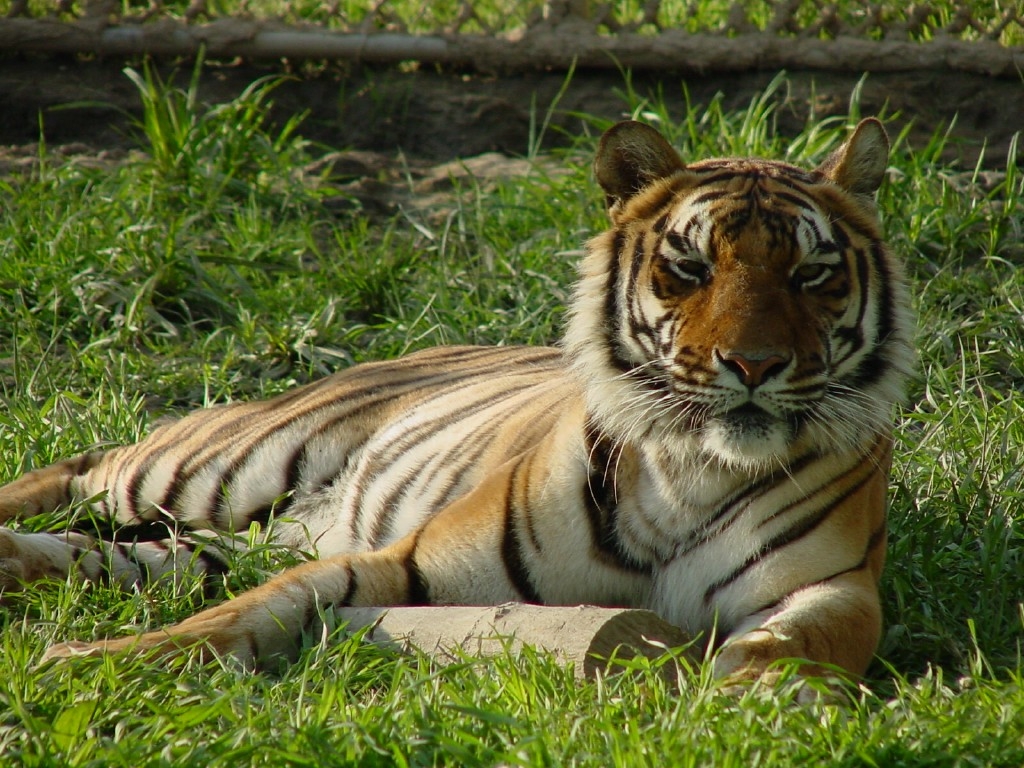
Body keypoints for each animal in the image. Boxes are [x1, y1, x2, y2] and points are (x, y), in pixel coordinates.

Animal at [0, 118, 913, 684]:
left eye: (813, 273)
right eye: (689, 268)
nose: (753, 363)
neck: (697, 469)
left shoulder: (836, 584)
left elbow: (806, 640)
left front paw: (758, 697)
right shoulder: (410, 562)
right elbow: (244, 613)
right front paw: (106, 664)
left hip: (228, 531)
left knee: (118, 556)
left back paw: (16, 563)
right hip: (219, 462)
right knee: (85, 466)